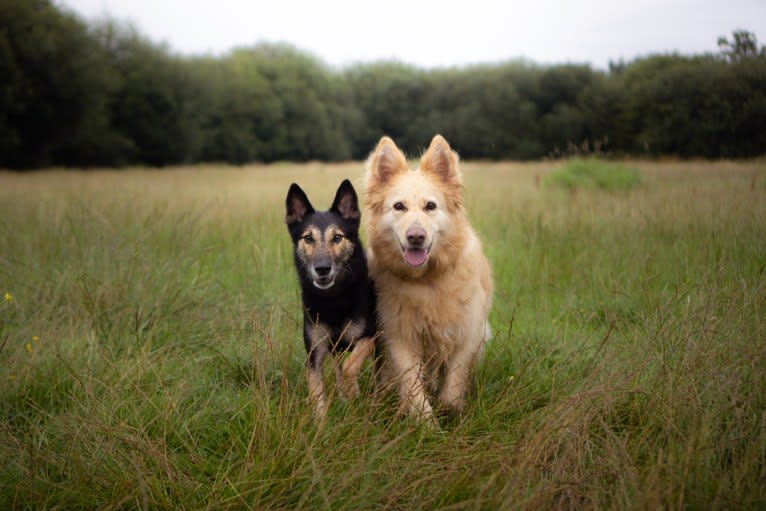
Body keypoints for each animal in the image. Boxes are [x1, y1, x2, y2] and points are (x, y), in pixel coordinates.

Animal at [284, 180, 378, 420]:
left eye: (337, 237)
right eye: (308, 238)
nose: (322, 269)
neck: (334, 299)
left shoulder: (370, 336)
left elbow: (349, 367)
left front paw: (351, 390)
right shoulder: (314, 354)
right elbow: (317, 395)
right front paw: (322, 424)